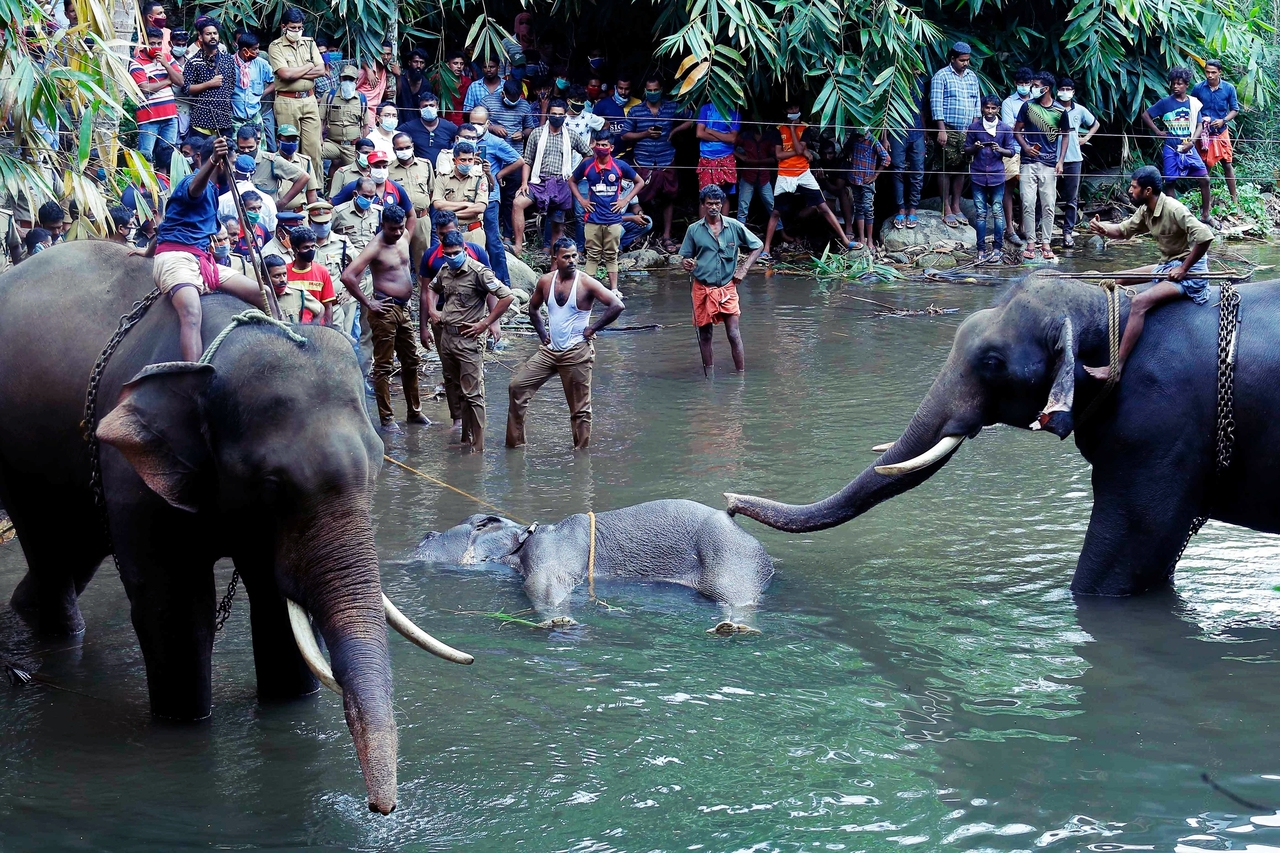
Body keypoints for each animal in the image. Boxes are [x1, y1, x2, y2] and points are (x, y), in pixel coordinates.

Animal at [0, 242, 476, 814]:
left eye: (381, 463)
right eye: (271, 484)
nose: (380, 809)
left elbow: (274, 605)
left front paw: (289, 707)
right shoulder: (132, 474)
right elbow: (177, 611)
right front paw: (184, 726)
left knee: (74, 551)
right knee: (50, 548)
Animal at [414, 494, 768, 627]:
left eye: (480, 523)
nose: (425, 534)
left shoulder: (549, 552)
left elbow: (544, 584)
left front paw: (560, 622)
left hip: (731, 559)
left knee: (734, 598)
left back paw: (733, 628)